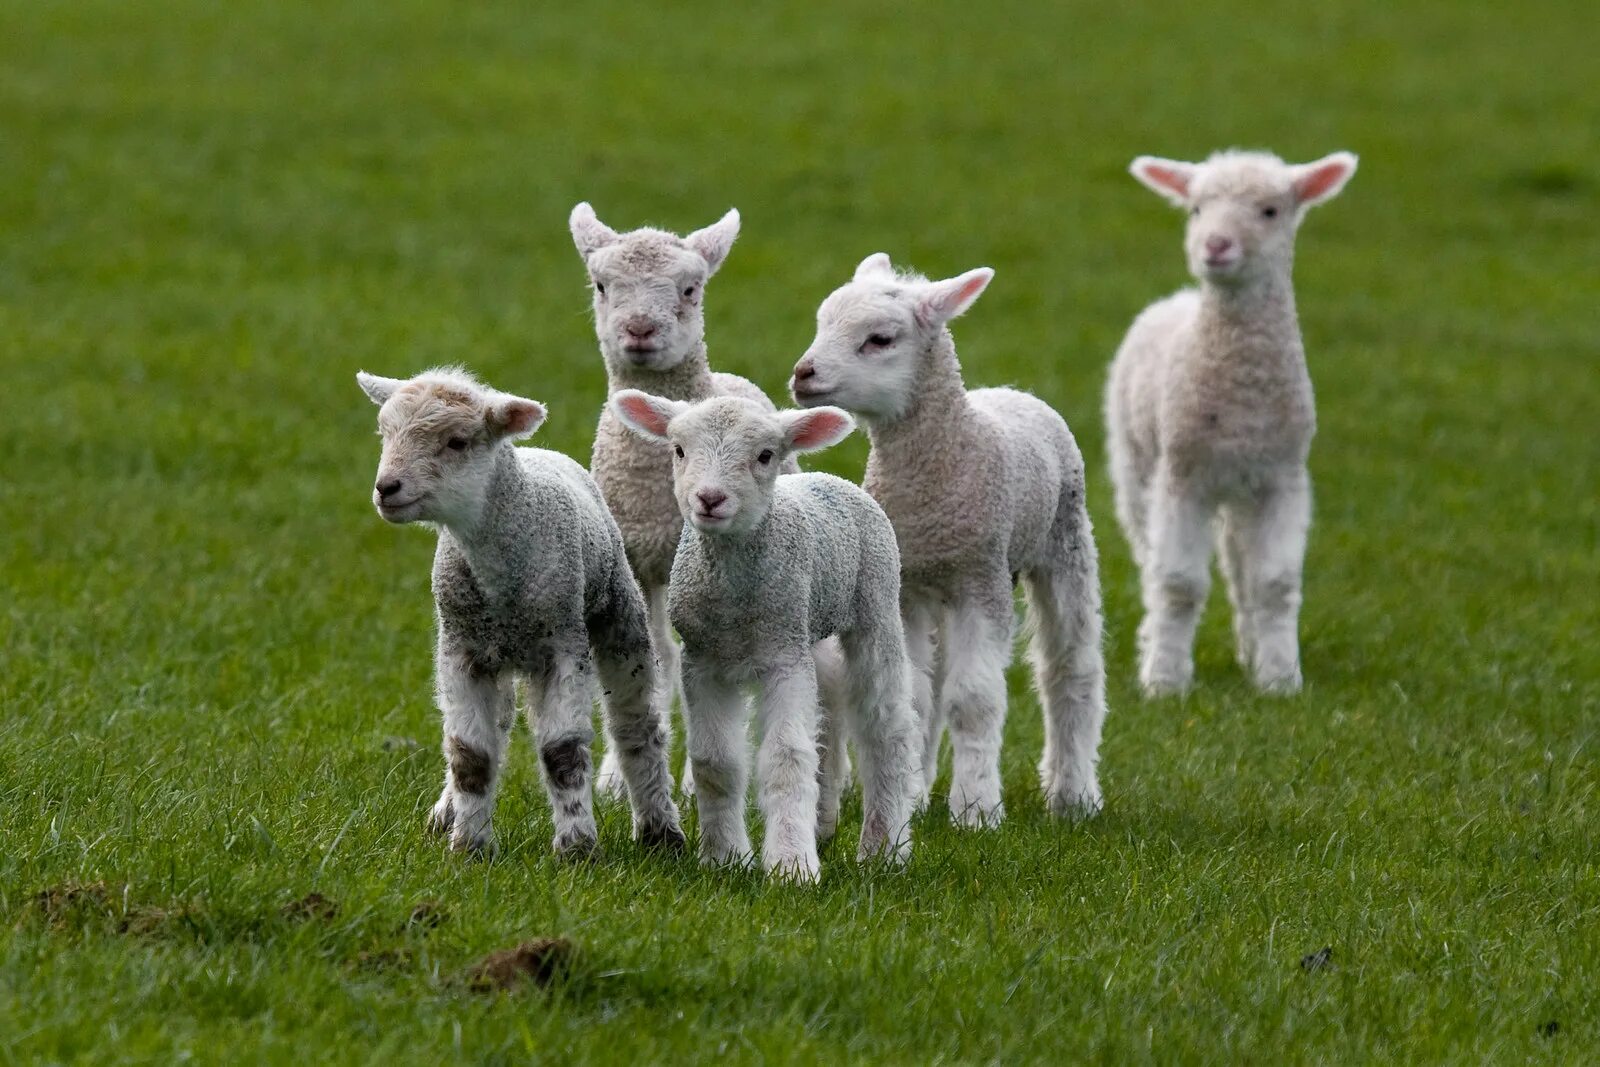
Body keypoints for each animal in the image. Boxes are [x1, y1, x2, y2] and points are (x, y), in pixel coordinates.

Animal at [356, 367, 681, 857]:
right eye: (385, 433)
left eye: (457, 442)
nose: (386, 489)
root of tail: (540, 450)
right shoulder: (460, 652)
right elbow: (470, 755)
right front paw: (468, 847)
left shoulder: (563, 646)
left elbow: (562, 751)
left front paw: (577, 848)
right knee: (500, 722)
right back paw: (446, 813)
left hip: (619, 613)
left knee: (636, 726)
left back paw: (660, 831)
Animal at [572, 202, 800, 799]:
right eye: (601, 285)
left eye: (691, 288)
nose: (640, 329)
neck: (650, 487)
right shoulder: (633, 561)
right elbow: (647, 660)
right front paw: (614, 778)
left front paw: (699, 780)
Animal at [604, 391, 921, 883]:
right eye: (678, 450)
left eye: (765, 455)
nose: (710, 498)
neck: (734, 605)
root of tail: (826, 476)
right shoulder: (705, 661)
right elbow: (715, 761)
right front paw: (724, 858)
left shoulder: (782, 658)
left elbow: (786, 758)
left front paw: (792, 867)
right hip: (809, 628)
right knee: (829, 714)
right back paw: (824, 825)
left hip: (876, 603)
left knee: (886, 729)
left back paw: (883, 849)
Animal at [790, 255, 1113, 825]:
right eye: (822, 323)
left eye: (879, 339)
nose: (803, 374)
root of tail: (1010, 391)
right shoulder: (909, 589)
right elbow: (919, 697)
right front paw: (915, 798)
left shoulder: (980, 581)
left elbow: (974, 700)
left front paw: (977, 809)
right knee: (938, 683)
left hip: (1064, 542)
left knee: (1069, 668)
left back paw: (1074, 794)